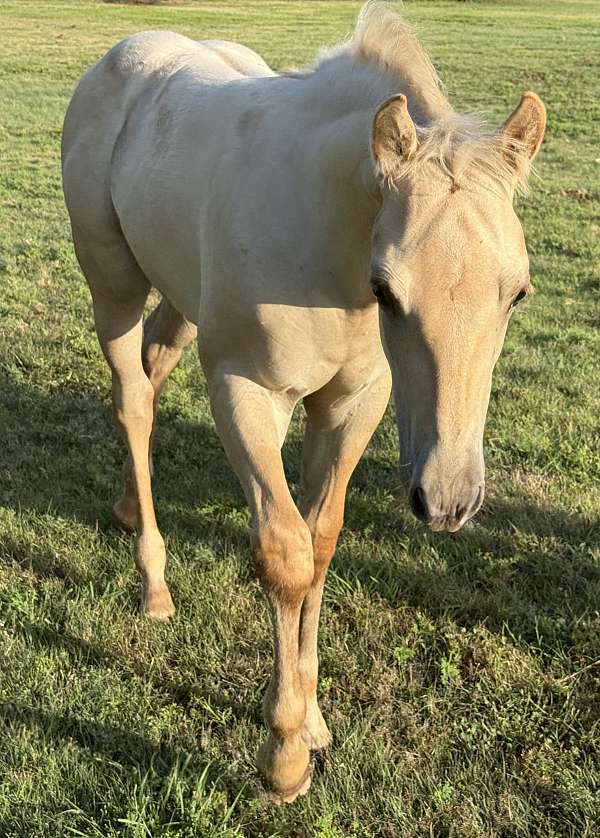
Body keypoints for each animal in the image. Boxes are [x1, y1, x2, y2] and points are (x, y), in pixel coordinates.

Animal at [61, 1, 546, 802]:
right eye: (387, 289)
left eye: (518, 293)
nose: (449, 499)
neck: (327, 242)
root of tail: (124, 55)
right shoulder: (245, 393)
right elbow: (284, 553)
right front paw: (285, 753)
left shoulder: (354, 404)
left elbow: (321, 543)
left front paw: (313, 721)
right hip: (114, 285)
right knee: (133, 399)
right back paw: (154, 582)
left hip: (184, 295)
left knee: (156, 371)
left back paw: (131, 506)